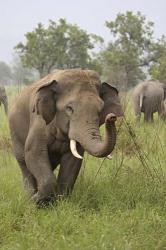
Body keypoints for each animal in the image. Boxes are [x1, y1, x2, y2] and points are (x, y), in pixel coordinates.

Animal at [9, 68, 123, 205]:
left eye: (100, 110)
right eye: (69, 108)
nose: (111, 117)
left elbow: (73, 161)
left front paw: (59, 202)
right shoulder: (38, 120)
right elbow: (34, 153)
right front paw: (37, 201)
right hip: (15, 134)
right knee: (24, 164)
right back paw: (29, 198)